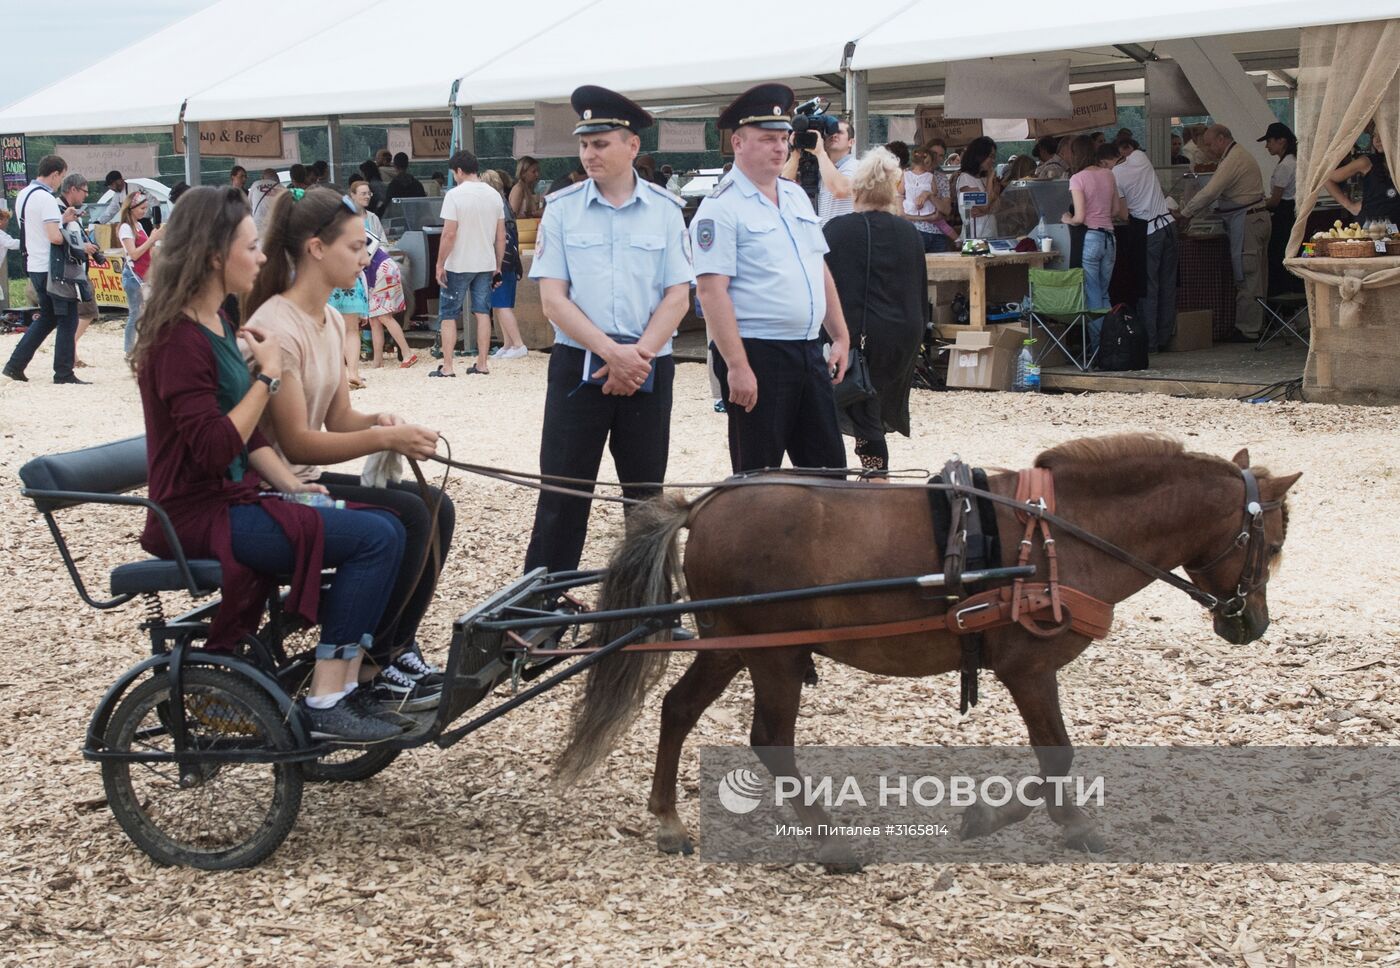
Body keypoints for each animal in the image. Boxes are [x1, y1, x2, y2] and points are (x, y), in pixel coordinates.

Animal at [551, 434, 1293, 857]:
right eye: (1276, 539)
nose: (1250, 623)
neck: (1060, 534)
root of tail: (702, 505)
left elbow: (1051, 759)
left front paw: (998, 816)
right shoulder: (1028, 668)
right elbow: (1056, 754)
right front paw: (1054, 823)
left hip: (737, 643)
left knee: (678, 710)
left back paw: (669, 822)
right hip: (774, 654)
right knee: (769, 739)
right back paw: (828, 842)